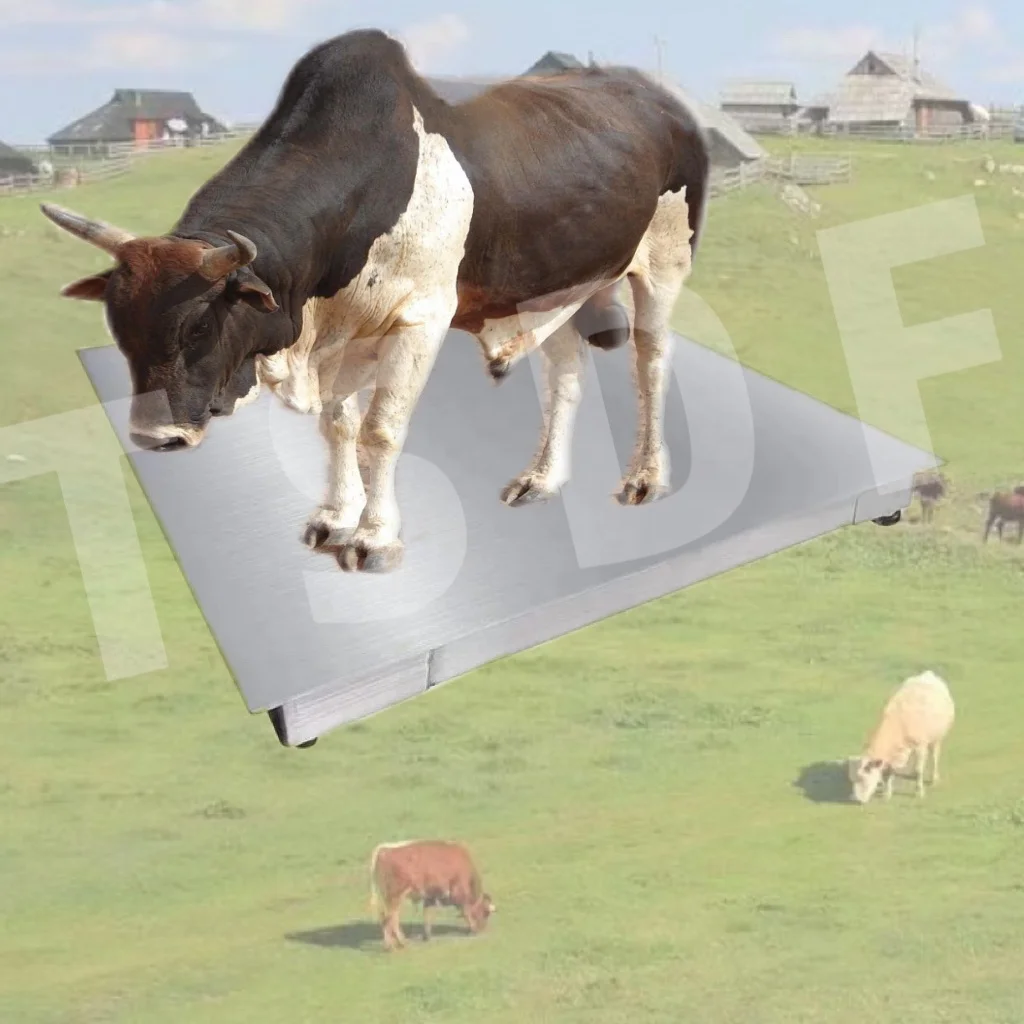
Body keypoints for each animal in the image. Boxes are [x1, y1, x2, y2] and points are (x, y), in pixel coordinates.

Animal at [40, 29, 710, 574]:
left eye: (200, 327)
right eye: (119, 326)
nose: (156, 436)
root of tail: (664, 100)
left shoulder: (420, 320)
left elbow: (380, 432)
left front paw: (374, 538)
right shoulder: (342, 337)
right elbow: (339, 427)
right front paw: (336, 518)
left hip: (664, 261)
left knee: (650, 362)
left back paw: (645, 477)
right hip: (557, 284)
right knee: (565, 372)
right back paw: (541, 479)